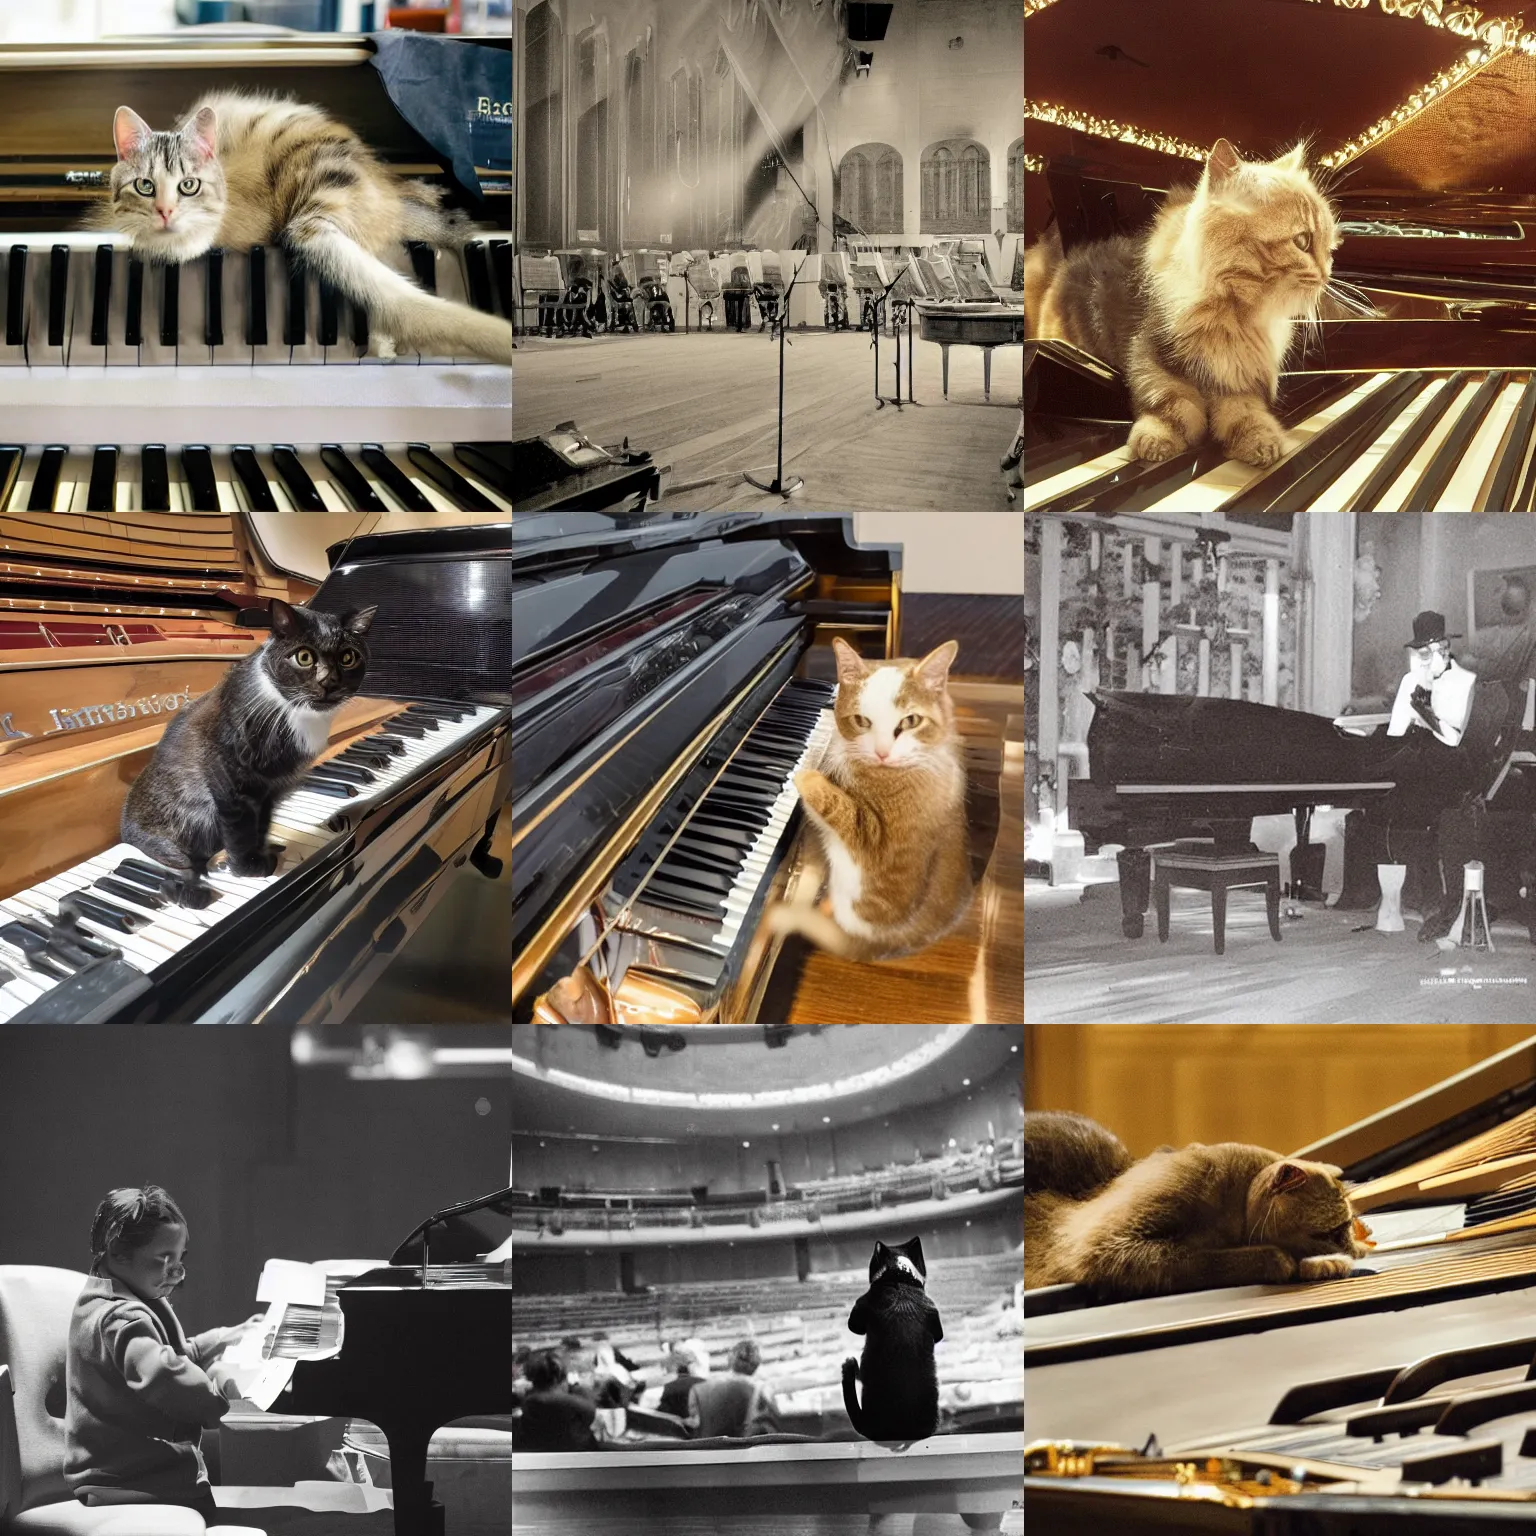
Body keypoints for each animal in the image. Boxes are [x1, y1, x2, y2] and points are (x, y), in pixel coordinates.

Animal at [119, 599, 377, 903]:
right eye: (303, 657)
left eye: (348, 657)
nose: (329, 681)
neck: (294, 712)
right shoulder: (228, 779)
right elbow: (239, 828)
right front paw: (247, 869)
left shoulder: (270, 788)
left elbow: (261, 823)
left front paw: (264, 854)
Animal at [768, 635, 970, 958]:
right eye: (861, 721)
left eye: (911, 720)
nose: (882, 752)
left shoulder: (875, 838)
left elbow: (841, 810)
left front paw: (806, 774)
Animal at [1019, 1112, 1370, 1302]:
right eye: (1331, 1231)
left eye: (1348, 1228)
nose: (1354, 1251)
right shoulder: (1110, 1245)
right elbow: (1214, 1257)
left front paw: (1329, 1263)